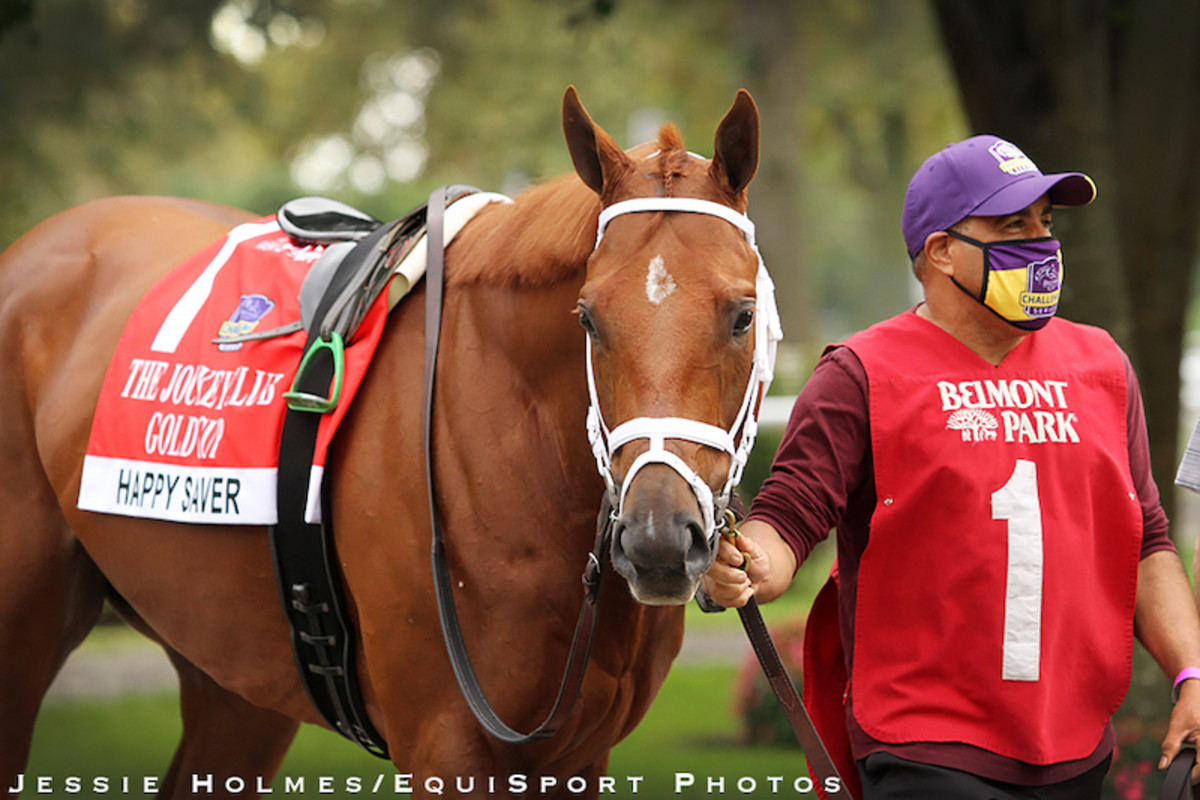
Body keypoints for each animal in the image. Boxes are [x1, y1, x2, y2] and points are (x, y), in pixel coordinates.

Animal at [0, 86, 768, 796]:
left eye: (742, 314)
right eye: (587, 317)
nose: (658, 540)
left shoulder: (577, 758)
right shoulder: (444, 747)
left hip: (231, 673)